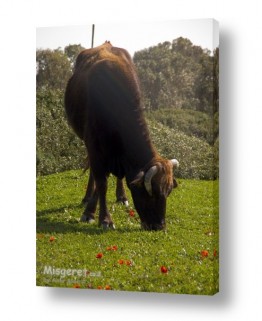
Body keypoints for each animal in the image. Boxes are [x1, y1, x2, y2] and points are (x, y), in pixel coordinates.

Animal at [64, 41, 178, 229]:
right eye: (151, 193)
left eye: (167, 192)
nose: (159, 226)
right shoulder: (94, 146)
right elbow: (101, 183)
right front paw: (101, 218)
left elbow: (109, 179)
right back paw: (87, 198)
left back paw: (121, 196)